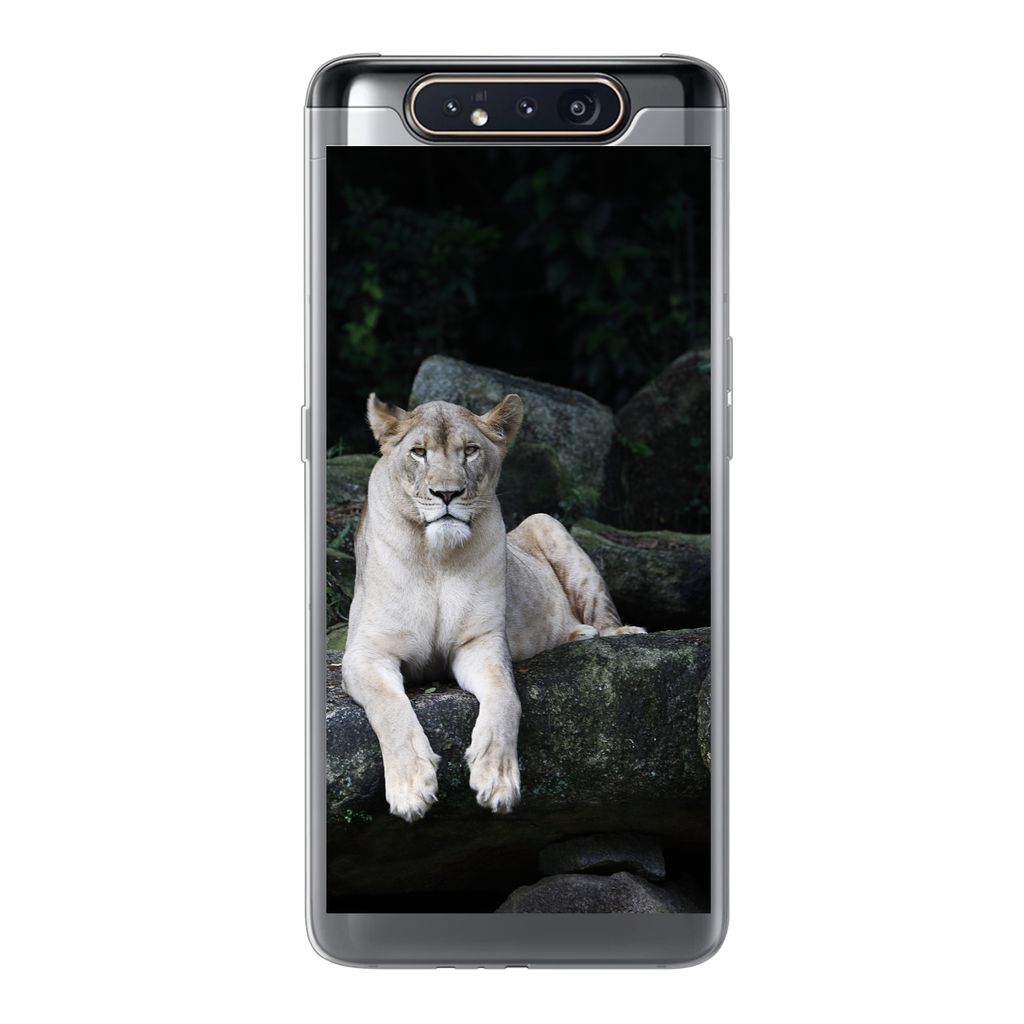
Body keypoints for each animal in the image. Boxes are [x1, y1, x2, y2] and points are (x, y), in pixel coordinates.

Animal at [341, 392, 644, 822]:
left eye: (470, 451)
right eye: (419, 452)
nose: (447, 494)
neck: (436, 559)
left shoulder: (480, 644)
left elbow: (505, 697)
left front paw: (497, 779)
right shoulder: (365, 653)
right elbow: (389, 707)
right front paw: (412, 787)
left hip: (546, 522)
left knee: (602, 614)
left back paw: (610, 632)